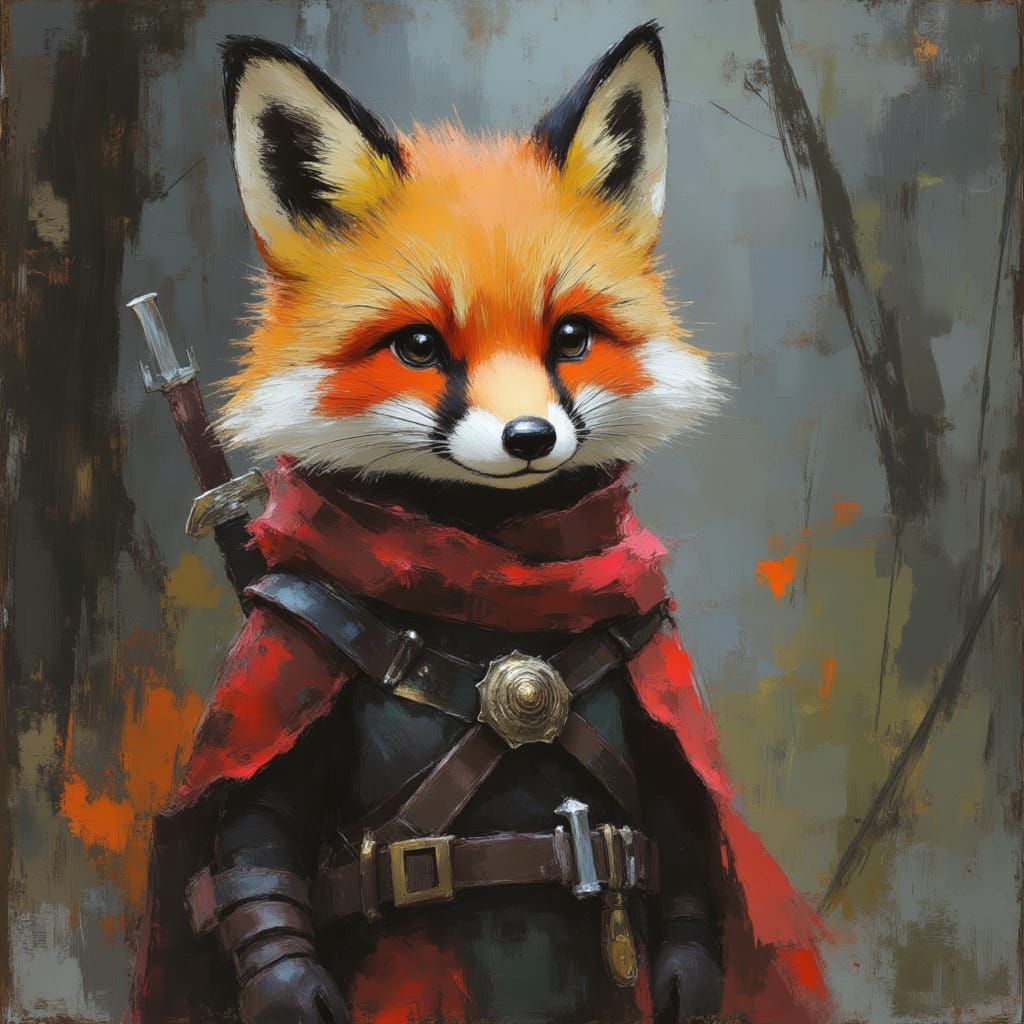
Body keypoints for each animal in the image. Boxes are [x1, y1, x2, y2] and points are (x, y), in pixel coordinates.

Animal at [129, 21, 834, 1024]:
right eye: (420, 346)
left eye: (570, 337)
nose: (530, 437)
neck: (495, 575)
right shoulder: (292, 644)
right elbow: (256, 839)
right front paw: (291, 987)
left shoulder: (644, 642)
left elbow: (682, 829)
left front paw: (692, 973)